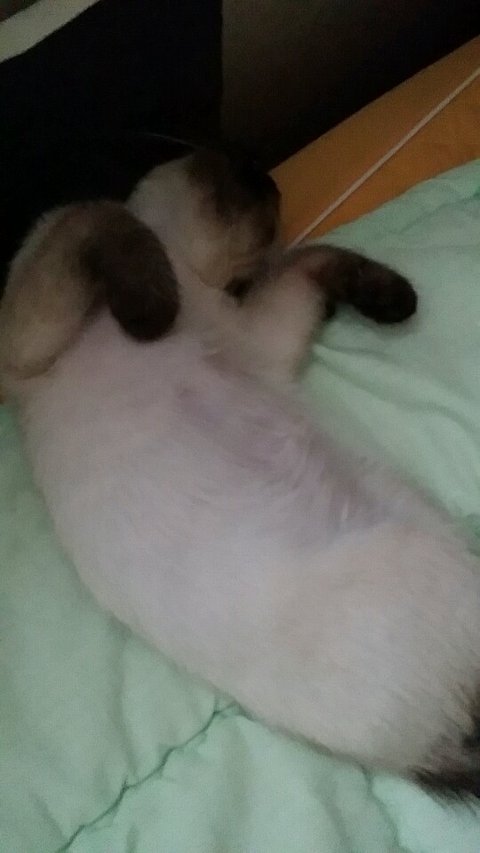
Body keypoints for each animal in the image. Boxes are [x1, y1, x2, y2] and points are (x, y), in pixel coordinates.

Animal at [2, 148, 480, 797]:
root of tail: (430, 755)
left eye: (265, 189)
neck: (196, 285)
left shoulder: (258, 335)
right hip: (427, 558)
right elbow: (102, 217)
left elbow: (311, 259)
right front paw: (151, 311)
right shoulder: (32, 332)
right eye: (246, 180)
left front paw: (394, 298)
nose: (271, 180)